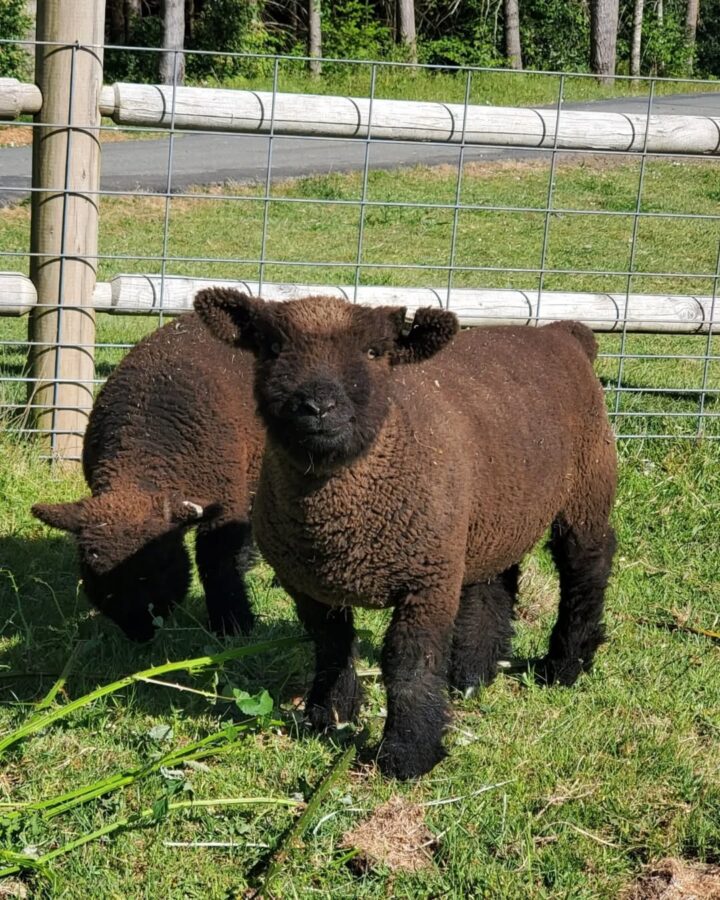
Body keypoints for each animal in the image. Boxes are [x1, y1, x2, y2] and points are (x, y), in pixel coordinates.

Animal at [32, 313, 264, 642]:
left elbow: (218, 561)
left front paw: (232, 625)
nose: (139, 629)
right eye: (90, 567)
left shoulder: (227, 498)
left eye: (163, 563)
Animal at [194, 289, 617, 780]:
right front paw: (329, 715)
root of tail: (564, 333)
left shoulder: (426, 580)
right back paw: (472, 674)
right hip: (490, 512)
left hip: (587, 482)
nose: (318, 407)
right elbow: (331, 645)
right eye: (271, 347)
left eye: (375, 351)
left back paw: (565, 665)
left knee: (586, 566)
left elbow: (410, 663)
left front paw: (407, 753)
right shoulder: (308, 583)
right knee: (494, 578)